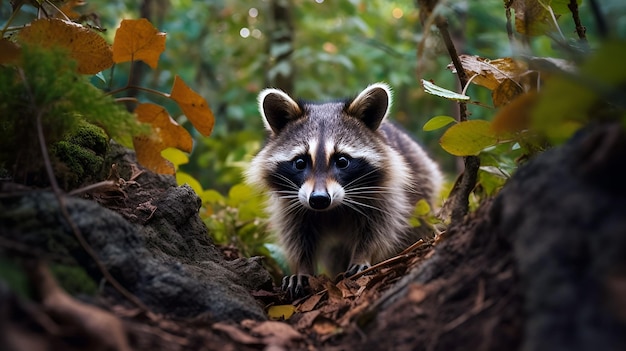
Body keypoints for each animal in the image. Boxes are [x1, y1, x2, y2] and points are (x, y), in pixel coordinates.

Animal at [246, 84, 442, 298]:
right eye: (299, 162)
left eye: (342, 161)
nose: (319, 199)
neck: (332, 210)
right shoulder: (291, 205)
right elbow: (297, 237)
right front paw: (303, 268)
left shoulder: (386, 193)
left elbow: (379, 229)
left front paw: (362, 256)